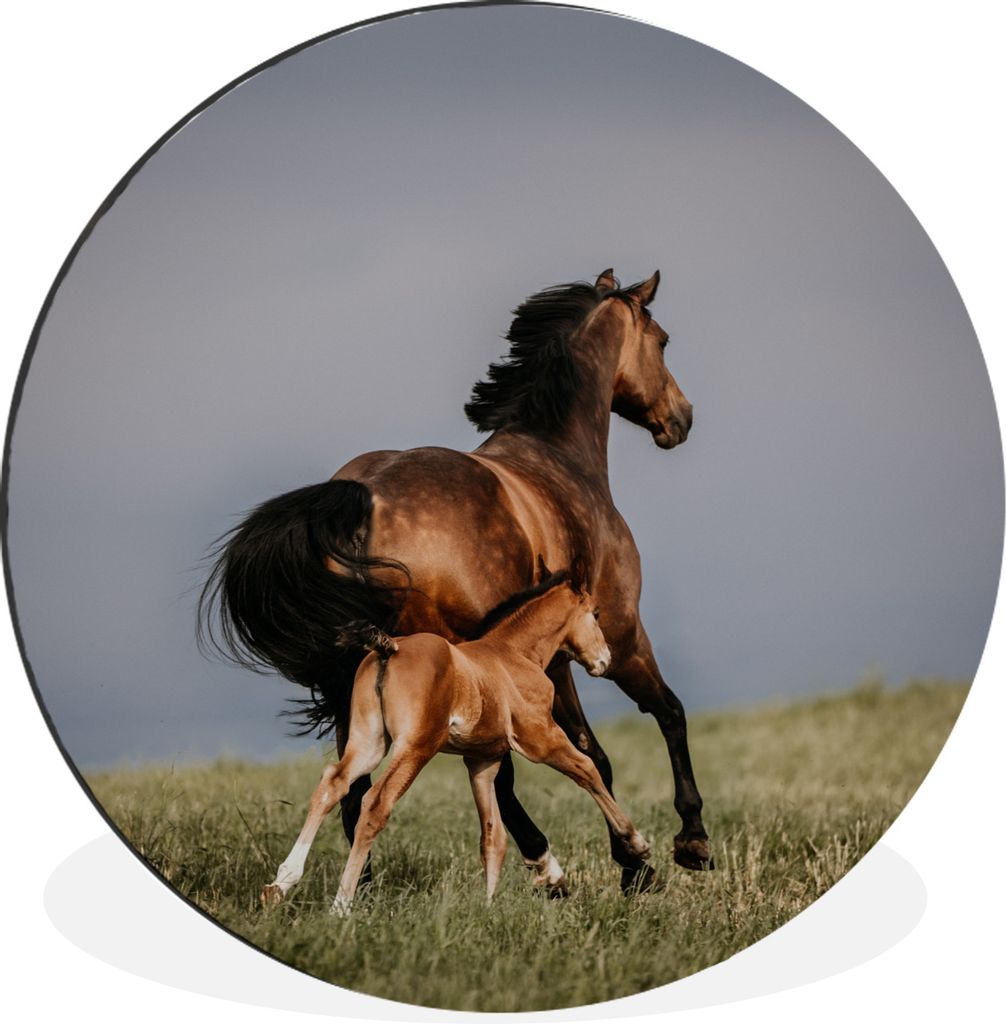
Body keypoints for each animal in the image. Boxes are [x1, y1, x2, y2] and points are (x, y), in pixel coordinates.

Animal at [261, 575, 650, 911]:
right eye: (595, 613)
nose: (604, 660)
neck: (514, 654)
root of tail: (390, 648)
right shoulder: (541, 738)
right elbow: (588, 771)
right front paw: (638, 844)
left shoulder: (482, 762)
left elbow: (493, 837)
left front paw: (488, 909)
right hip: (415, 747)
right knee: (376, 803)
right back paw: (341, 906)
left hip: (369, 743)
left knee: (332, 784)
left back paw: (280, 884)